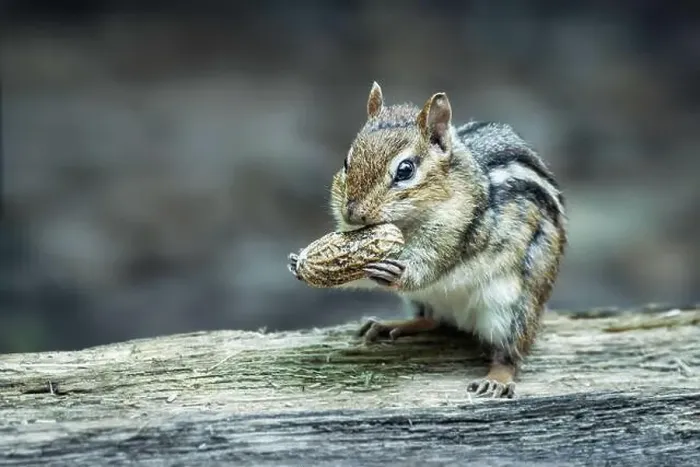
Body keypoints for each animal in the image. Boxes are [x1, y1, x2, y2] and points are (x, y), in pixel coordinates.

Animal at [301, 82, 567, 399]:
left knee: (510, 352)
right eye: (346, 162)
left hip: (512, 307)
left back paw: (497, 378)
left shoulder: (458, 231)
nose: (352, 213)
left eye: (405, 170)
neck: (407, 225)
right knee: (431, 319)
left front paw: (397, 272)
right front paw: (301, 262)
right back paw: (393, 325)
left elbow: (432, 265)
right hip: (422, 301)